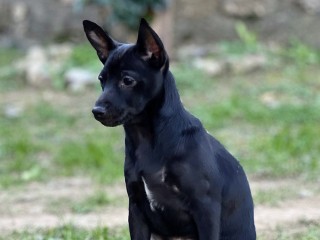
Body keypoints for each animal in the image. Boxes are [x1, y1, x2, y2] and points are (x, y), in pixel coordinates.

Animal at [84, 17, 256, 239]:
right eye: (101, 80)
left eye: (127, 81)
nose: (97, 111)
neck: (147, 139)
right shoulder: (136, 209)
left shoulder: (206, 209)